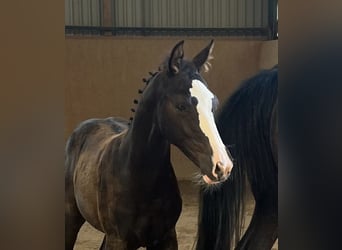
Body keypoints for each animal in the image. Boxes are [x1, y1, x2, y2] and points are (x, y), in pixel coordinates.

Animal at [65, 40, 234, 249]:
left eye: (214, 103)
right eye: (181, 105)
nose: (222, 166)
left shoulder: (166, 237)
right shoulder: (118, 239)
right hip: (70, 218)